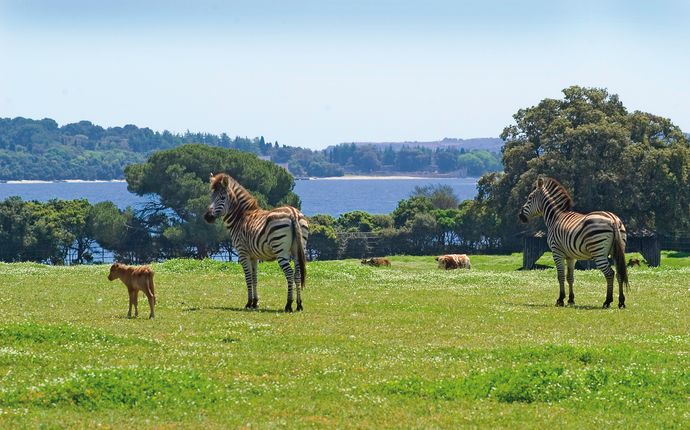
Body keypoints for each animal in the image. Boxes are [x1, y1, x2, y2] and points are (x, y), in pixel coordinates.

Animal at [203, 173, 308, 310]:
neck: (240, 217)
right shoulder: (254, 256)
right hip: (298, 249)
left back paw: (288, 304)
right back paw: (299, 304)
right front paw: (255, 302)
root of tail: (293, 213)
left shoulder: (243, 253)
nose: (207, 217)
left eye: (222, 197)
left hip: (280, 249)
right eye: (212, 197)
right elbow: (254, 277)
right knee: (297, 274)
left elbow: (248, 277)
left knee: (289, 274)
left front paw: (248, 303)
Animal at [516, 176, 628, 308]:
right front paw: (570, 300)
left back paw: (607, 301)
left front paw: (560, 299)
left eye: (529, 198)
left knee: (610, 273)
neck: (556, 218)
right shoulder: (571, 256)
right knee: (619, 274)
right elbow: (570, 277)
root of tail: (613, 219)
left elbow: (560, 276)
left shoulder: (556, 252)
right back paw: (621, 302)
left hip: (598, 251)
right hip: (617, 251)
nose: (520, 216)